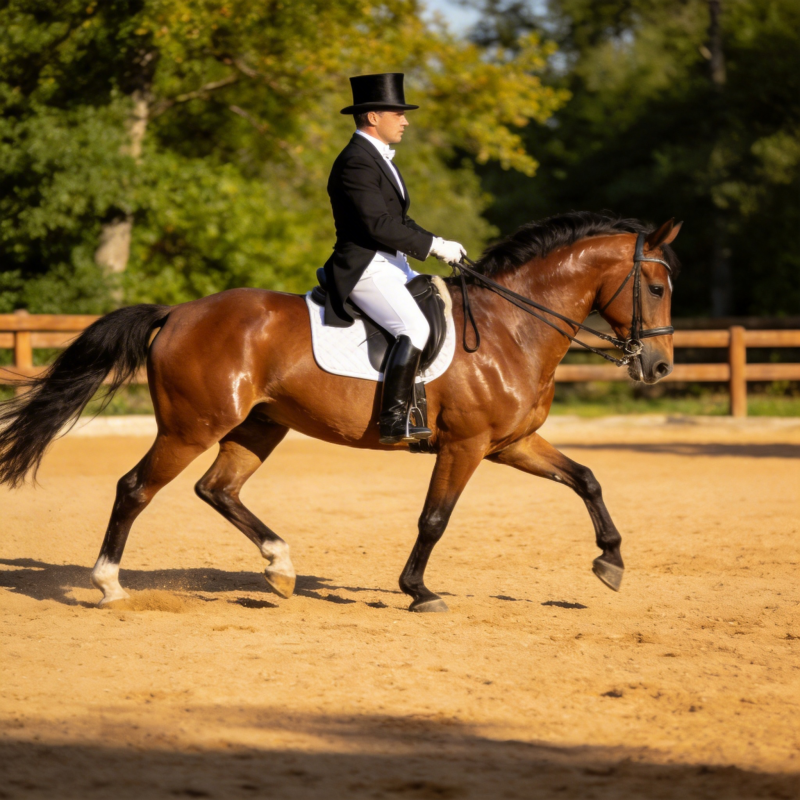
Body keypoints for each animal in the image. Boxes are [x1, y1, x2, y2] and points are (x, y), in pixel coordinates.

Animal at [0, 211, 681, 612]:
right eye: (655, 287)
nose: (658, 367)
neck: (511, 327)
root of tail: (179, 311)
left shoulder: (509, 443)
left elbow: (586, 478)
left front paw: (611, 561)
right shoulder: (465, 446)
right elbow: (434, 519)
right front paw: (418, 591)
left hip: (258, 425)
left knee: (217, 489)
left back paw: (280, 567)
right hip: (193, 426)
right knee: (135, 487)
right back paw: (109, 584)